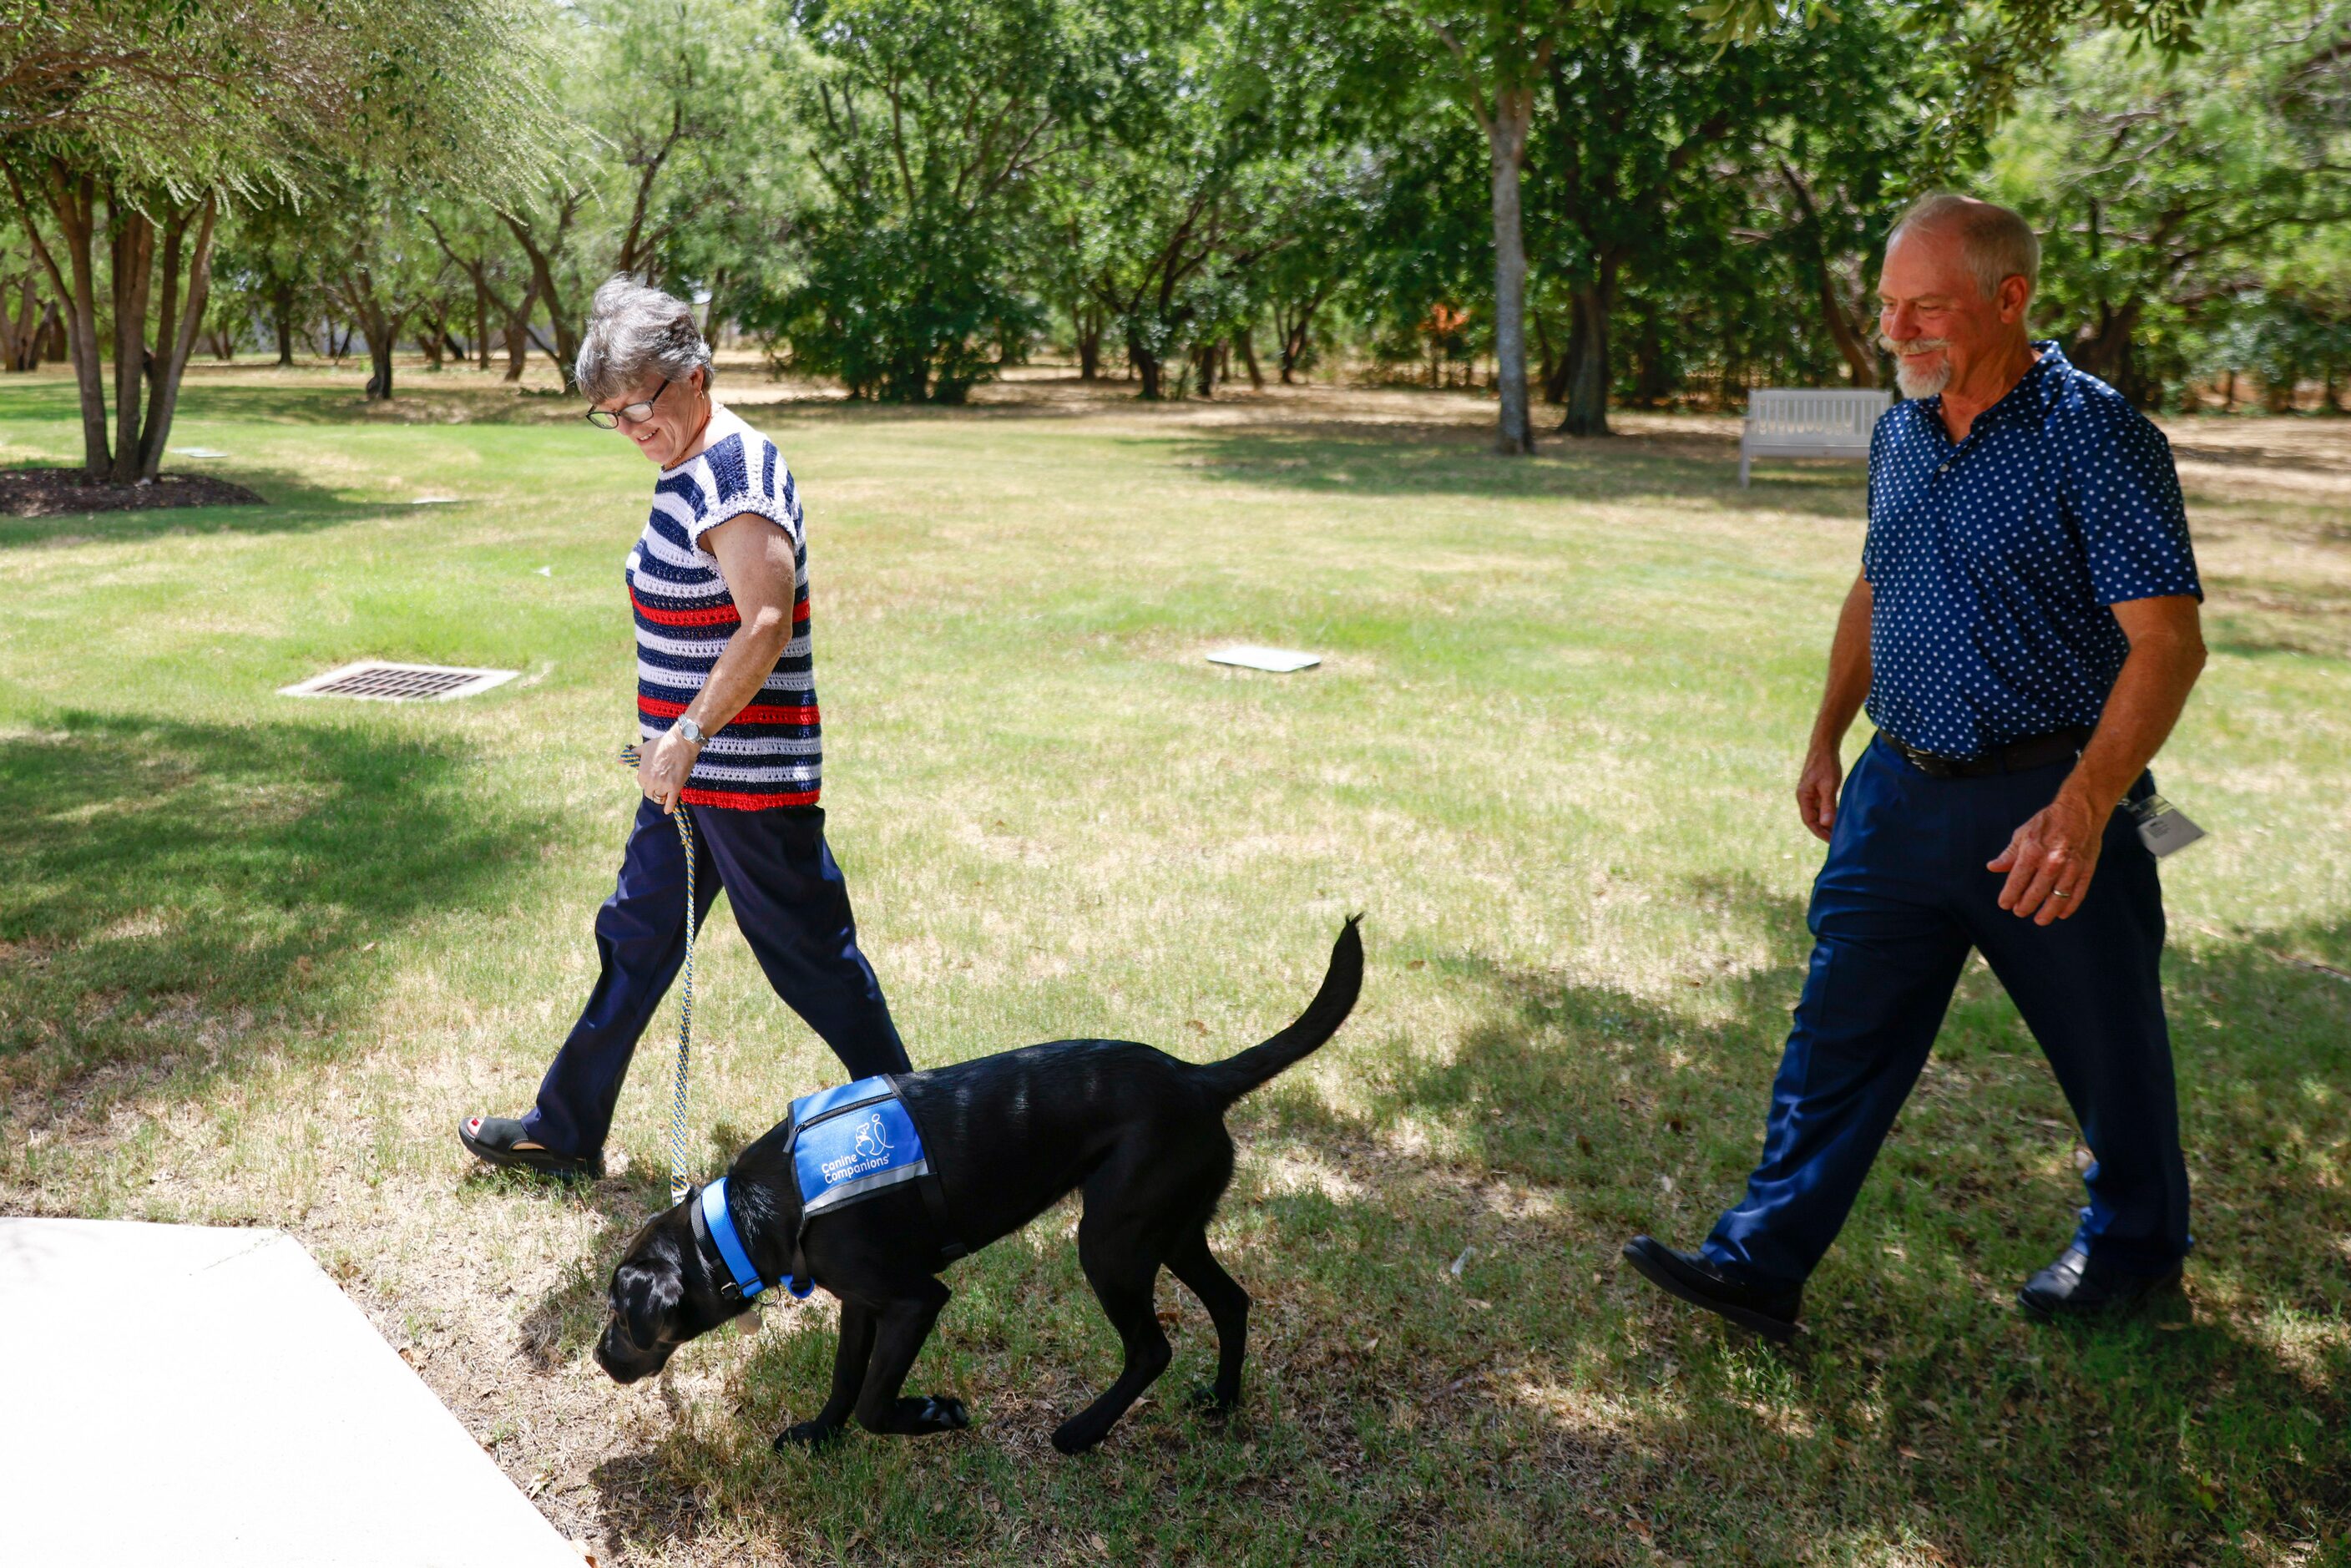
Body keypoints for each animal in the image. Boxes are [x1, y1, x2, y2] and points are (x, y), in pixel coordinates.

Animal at [592, 921, 1363, 1457]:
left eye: (620, 1314)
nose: (599, 1357)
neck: (742, 1220)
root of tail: (1198, 1076)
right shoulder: (863, 1303)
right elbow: (845, 1383)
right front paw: (819, 1436)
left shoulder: (915, 1300)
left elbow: (875, 1400)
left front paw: (934, 1415)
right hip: (1170, 1229)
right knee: (1232, 1303)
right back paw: (1223, 1403)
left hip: (1111, 1241)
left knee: (1153, 1349)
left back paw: (1081, 1433)